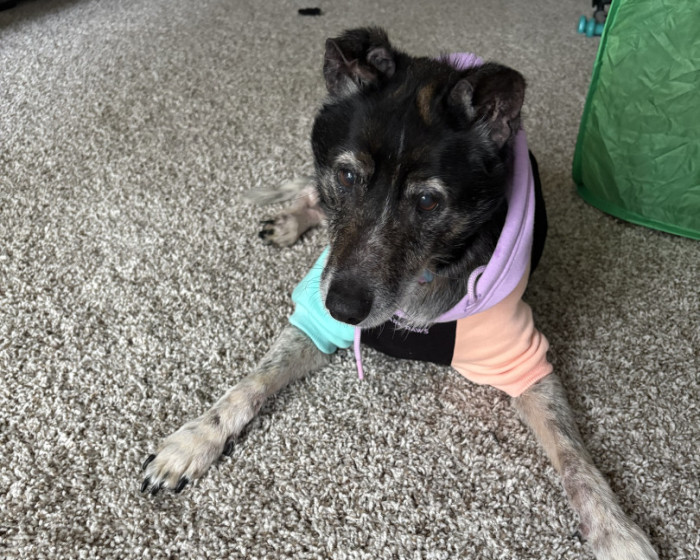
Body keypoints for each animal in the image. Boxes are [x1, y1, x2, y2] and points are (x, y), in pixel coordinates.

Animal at [140, 28, 657, 560]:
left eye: (427, 201)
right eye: (347, 175)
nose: (343, 309)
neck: (420, 283)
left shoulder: (524, 362)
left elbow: (573, 454)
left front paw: (614, 528)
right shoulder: (314, 317)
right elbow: (252, 382)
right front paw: (194, 440)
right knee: (309, 194)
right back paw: (289, 220)